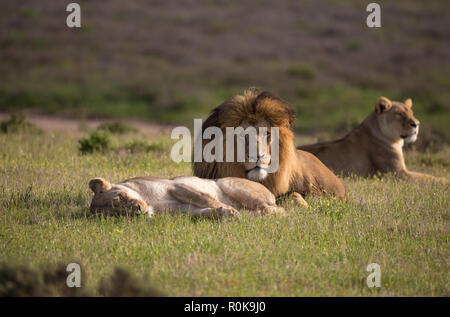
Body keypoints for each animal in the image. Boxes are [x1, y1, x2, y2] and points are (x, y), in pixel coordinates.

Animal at [298, 95, 442, 181]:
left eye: (412, 113)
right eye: (399, 114)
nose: (416, 124)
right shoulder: (396, 173)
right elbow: (429, 177)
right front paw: (444, 182)